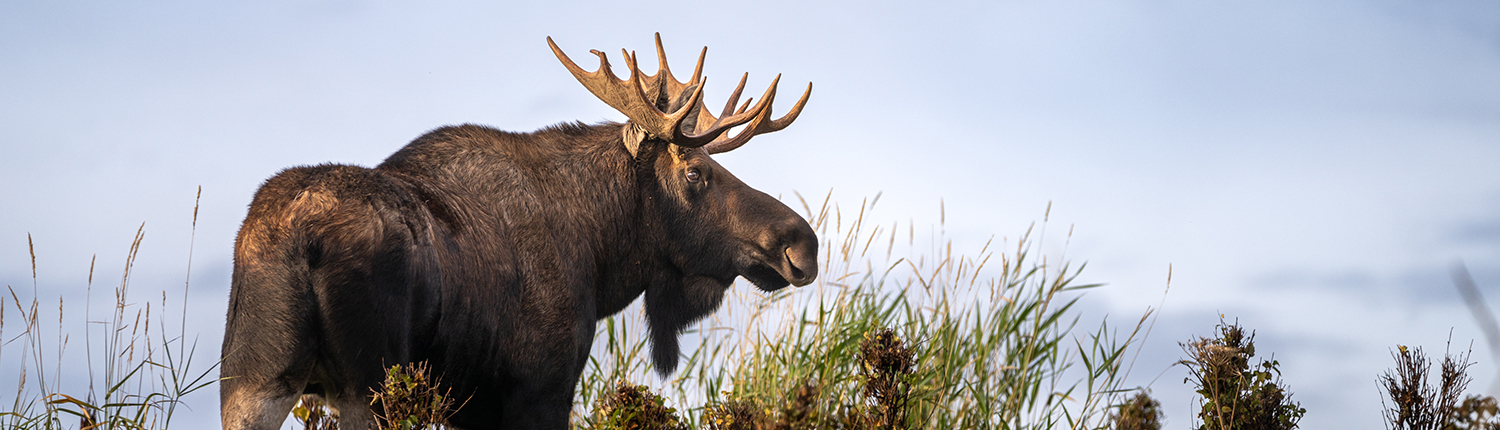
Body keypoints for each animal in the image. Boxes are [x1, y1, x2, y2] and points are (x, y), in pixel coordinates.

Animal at [219, 34, 818, 430]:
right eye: (695, 172)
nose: (802, 242)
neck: (602, 258)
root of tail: (300, 241)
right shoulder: (541, 388)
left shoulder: (473, 408)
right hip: (368, 387)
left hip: (252, 380)